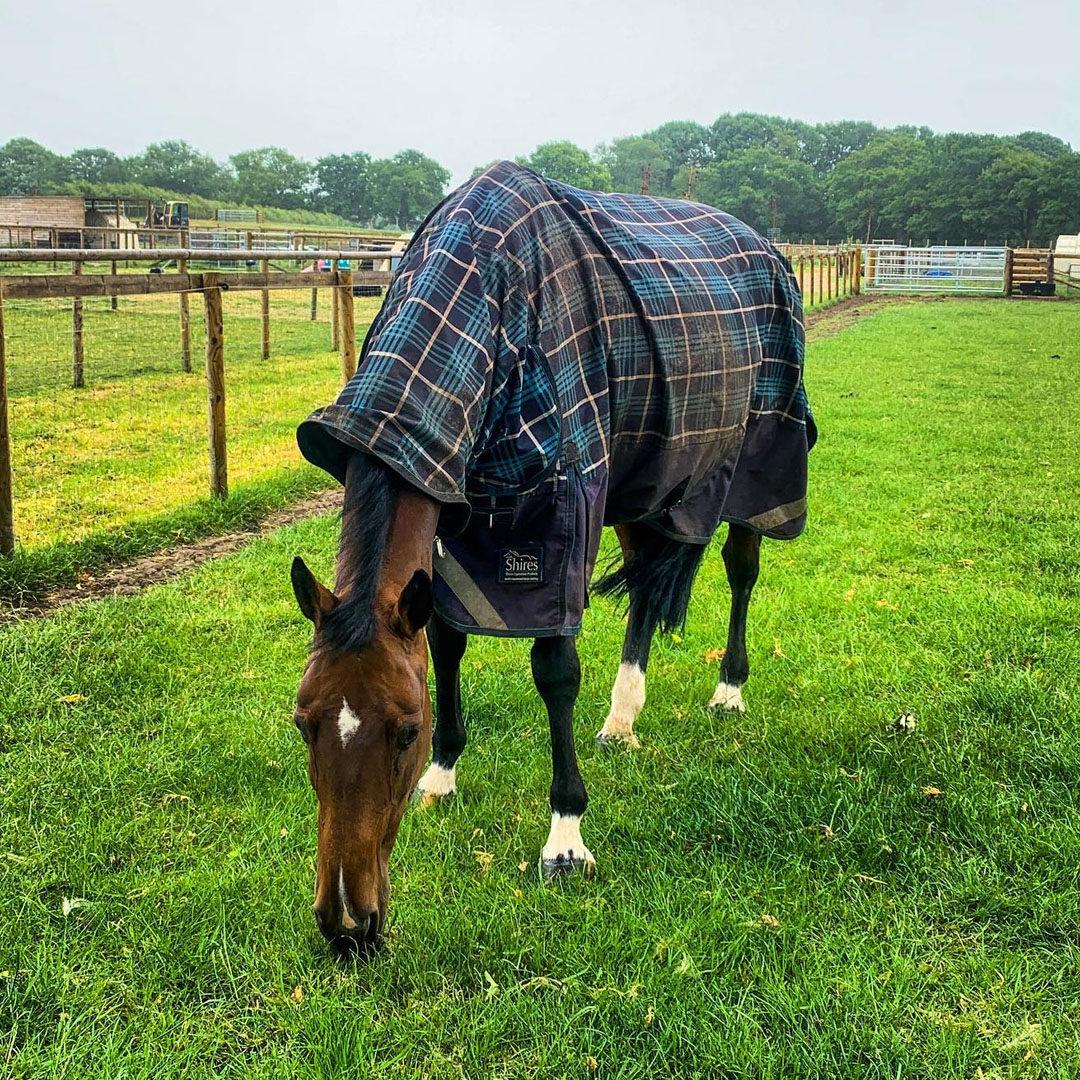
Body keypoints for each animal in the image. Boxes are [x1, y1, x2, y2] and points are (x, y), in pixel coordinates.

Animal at [290, 162, 815, 953]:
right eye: (303, 724)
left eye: (404, 729)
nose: (348, 923)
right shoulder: (457, 510)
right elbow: (445, 641)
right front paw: (443, 777)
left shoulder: (565, 507)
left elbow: (555, 671)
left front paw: (565, 838)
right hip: (641, 484)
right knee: (644, 596)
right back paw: (622, 719)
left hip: (755, 460)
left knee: (742, 569)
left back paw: (728, 689)